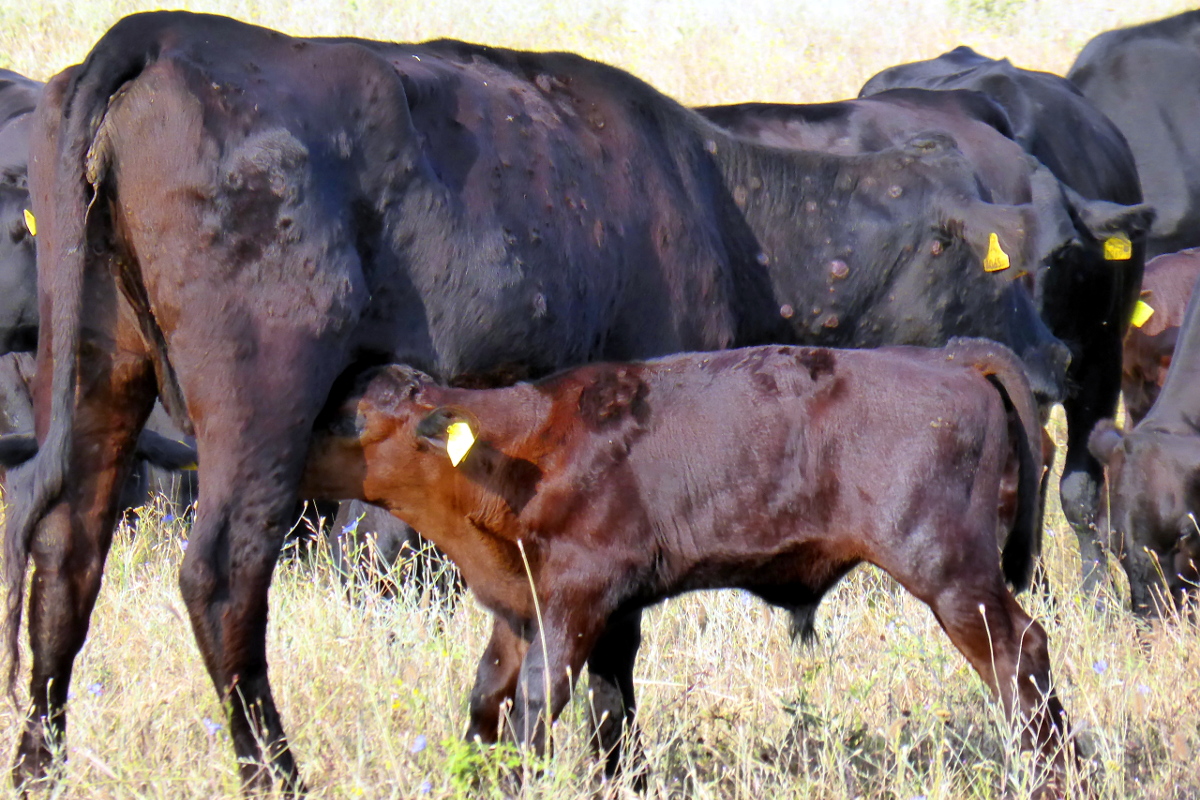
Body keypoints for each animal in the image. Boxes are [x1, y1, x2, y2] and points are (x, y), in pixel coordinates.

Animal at [298, 339, 1069, 783]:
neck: (516, 447)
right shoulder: (533, 609)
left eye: (351, 419)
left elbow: (537, 708)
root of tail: (949, 358)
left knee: (1019, 655)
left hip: (949, 572)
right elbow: (519, 704)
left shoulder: (576, 602)